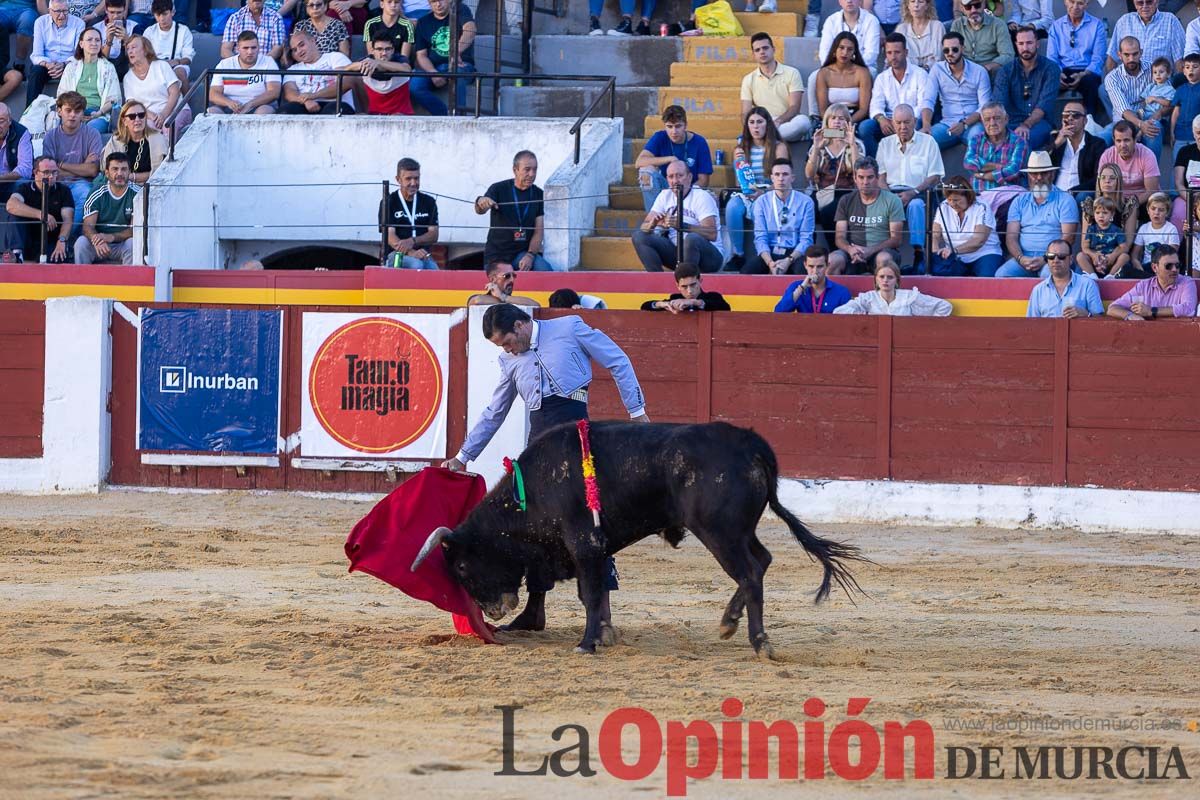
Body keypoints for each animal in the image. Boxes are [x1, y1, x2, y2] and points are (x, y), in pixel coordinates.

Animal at [412, 419, 864, 657]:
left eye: (463, 566)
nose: (494, 610)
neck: (534, 489)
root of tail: (752, 444)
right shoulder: (586, 551)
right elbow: (589, 594)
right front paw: (600, 635)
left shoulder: (585, 545)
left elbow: (592, 595)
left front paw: (587, 643)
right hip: (740, 531)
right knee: (763, 562)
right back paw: (727, 624)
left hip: (720, 532)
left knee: (750, 573)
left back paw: (759, 642)